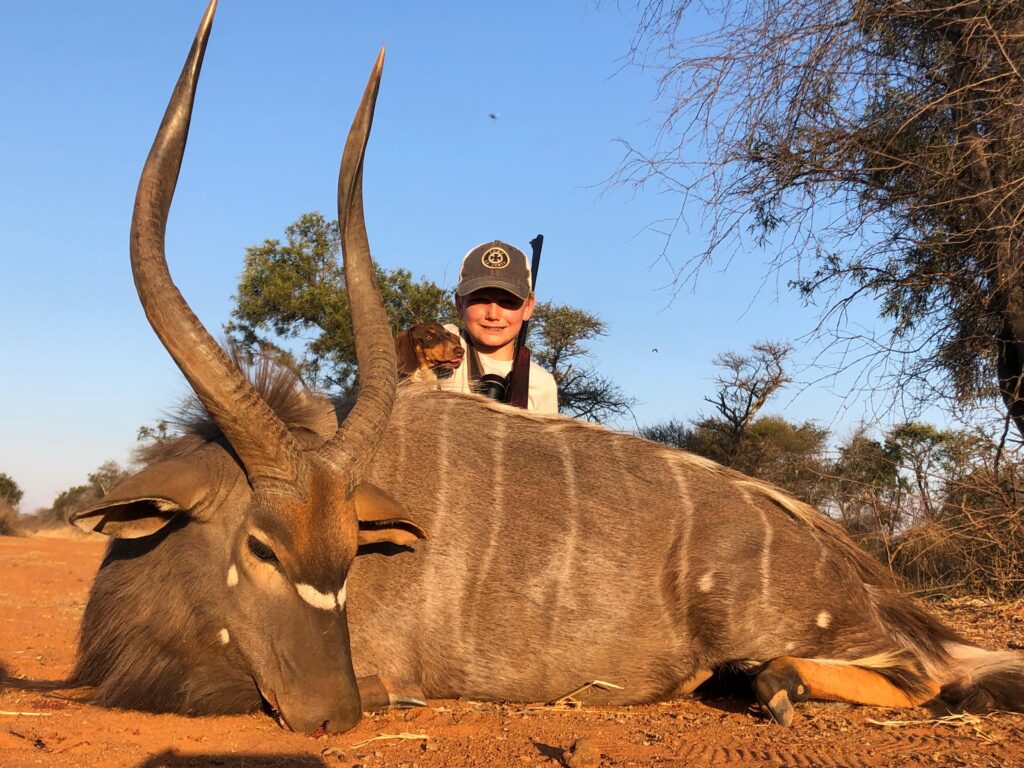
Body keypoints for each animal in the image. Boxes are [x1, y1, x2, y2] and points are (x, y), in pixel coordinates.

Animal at [65, 0, 1024, 737]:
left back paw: (777, 686)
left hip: (802, 628)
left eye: (346, 556)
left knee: (922, 677)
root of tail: (852, 562)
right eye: (260, 545)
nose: (333, 713)